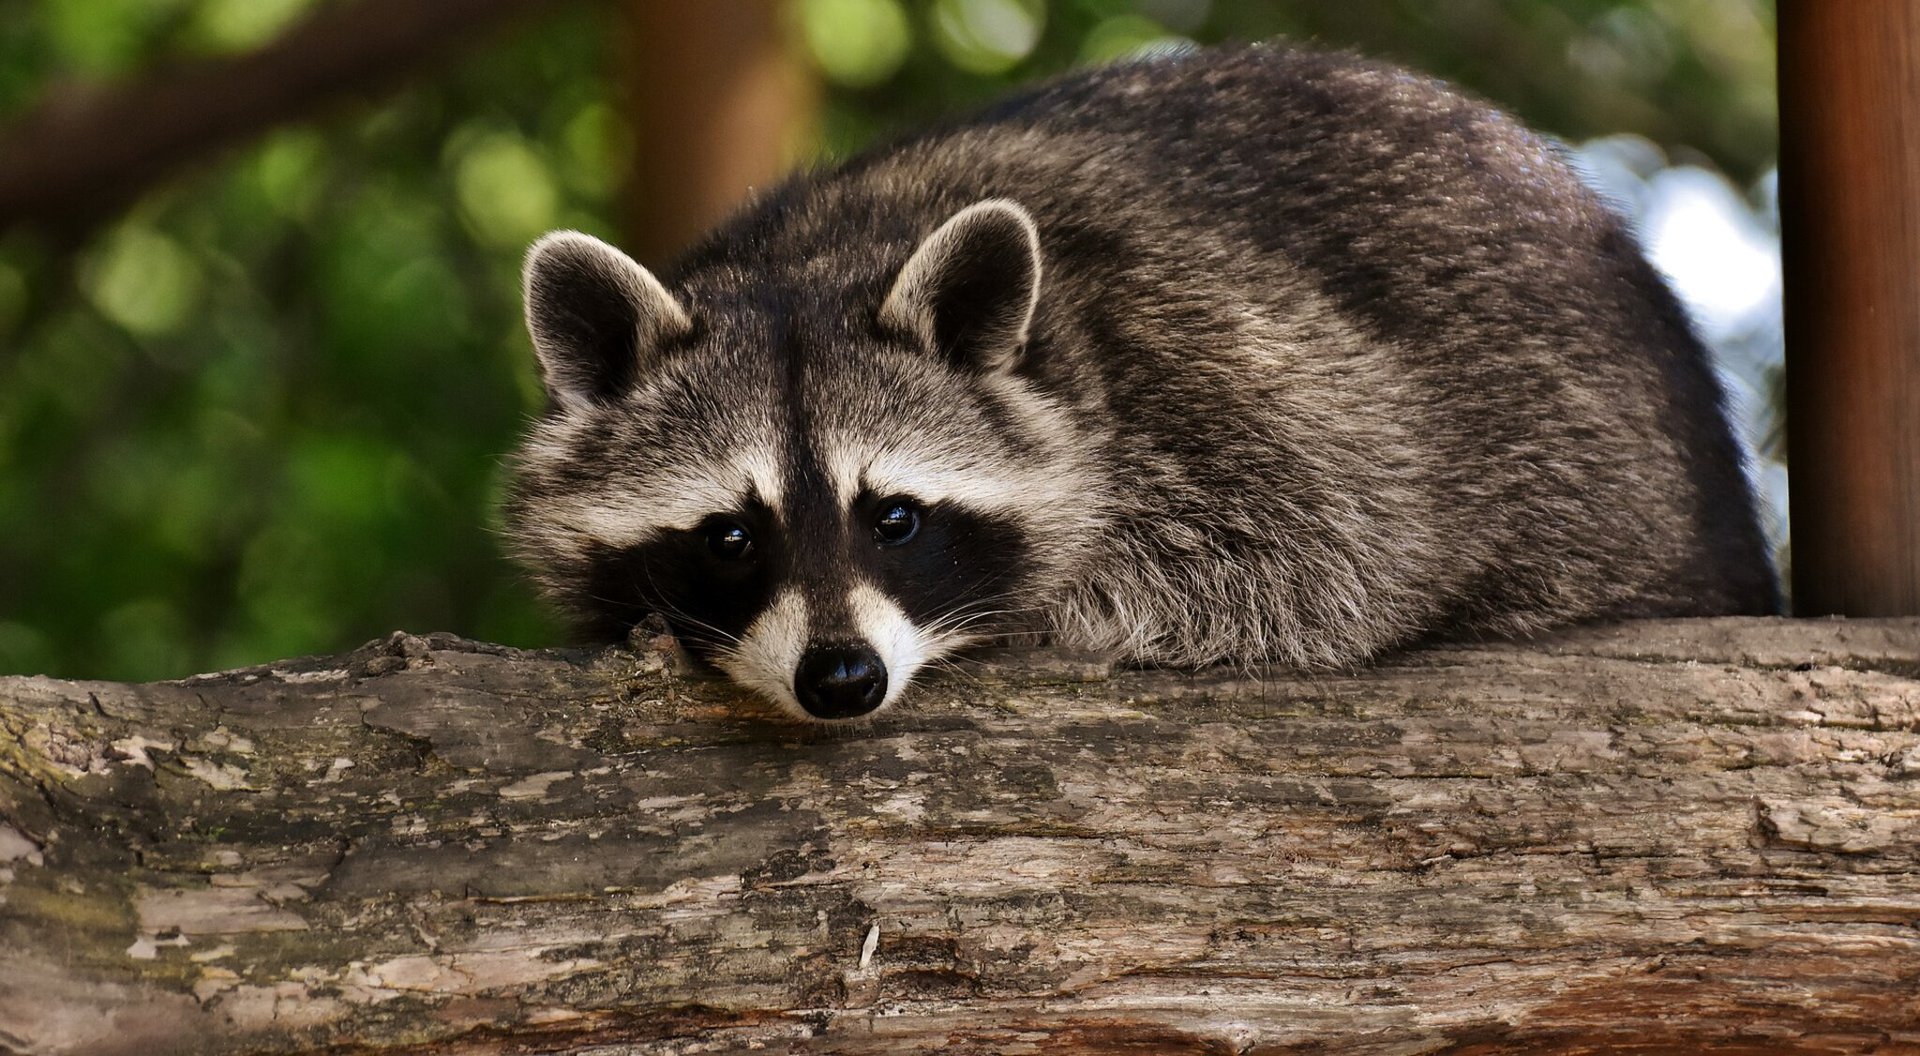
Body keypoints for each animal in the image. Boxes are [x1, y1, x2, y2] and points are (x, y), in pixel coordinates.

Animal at [503, 41, 1774, 721]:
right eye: (729, 535)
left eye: (895, 518)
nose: (843, 680)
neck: (816, 257)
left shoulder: (1232, 368)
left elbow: (1332, 555)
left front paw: (1032, 620)